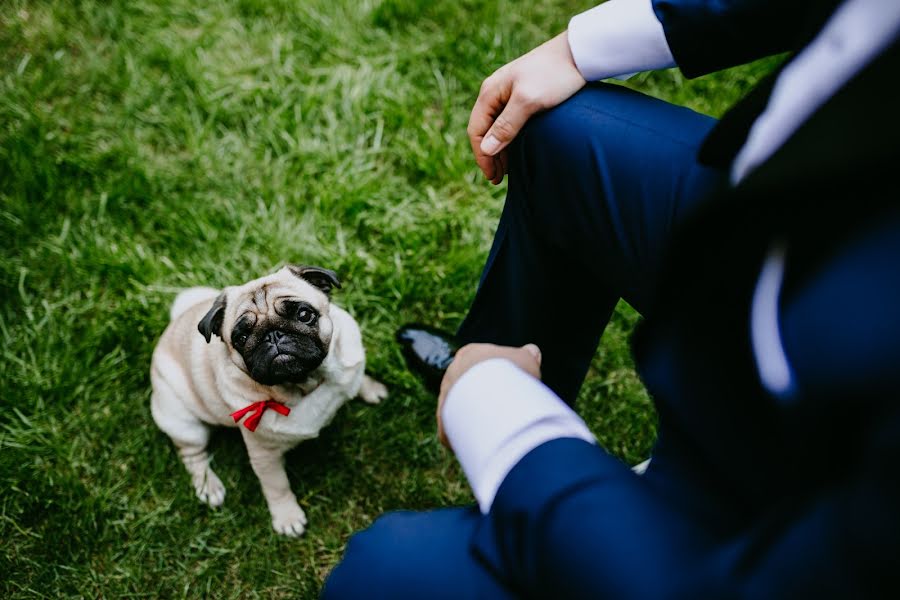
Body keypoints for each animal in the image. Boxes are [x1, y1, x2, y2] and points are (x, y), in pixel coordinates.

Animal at [149, 264, 386, 536]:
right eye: (240, 338)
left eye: (304, 314)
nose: (273, 335)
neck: (304, 384)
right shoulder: (265, 454)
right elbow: (277, 486)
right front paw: (287, 517)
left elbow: (357, 379)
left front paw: (370, 388)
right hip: (184, 424)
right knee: (193, 457)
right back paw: (209, 487)